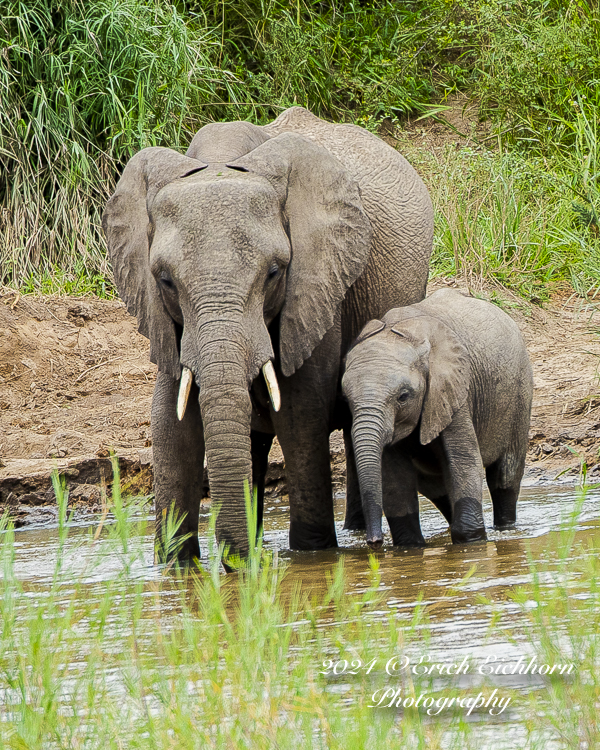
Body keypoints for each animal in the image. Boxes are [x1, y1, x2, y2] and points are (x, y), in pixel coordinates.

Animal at [103, 107, 432, 564]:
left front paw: (312, 556)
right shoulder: (165, 319)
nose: (236, 562)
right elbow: (172, 422)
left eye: (275, 272)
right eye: (165, 280)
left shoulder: (317, 284)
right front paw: (176, 565)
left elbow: (299, 413)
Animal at [342, 290, 536, 548]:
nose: (374, 541)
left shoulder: (453, 392)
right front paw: (410, 547)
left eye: (403, 396)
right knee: (436, 487)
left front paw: (471, 542)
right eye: (346, 398)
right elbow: (393, 476)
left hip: (520, 394)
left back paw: (506, 529)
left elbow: (464, 460)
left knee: (505, 477)